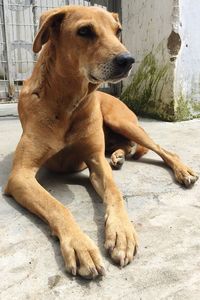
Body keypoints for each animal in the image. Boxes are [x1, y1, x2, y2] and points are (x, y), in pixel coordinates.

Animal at [4, 5, 198, 280]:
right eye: (85, 31)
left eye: (118, 31)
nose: (128, 60)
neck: (68, 102)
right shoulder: (20, 175)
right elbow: (57, 206)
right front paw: (80, 245)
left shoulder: (96, 161)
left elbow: (114, 192)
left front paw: (122, 233)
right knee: (127, 147)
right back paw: (119, 156)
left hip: (123, 122)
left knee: (163, 150)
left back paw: (182, 170)